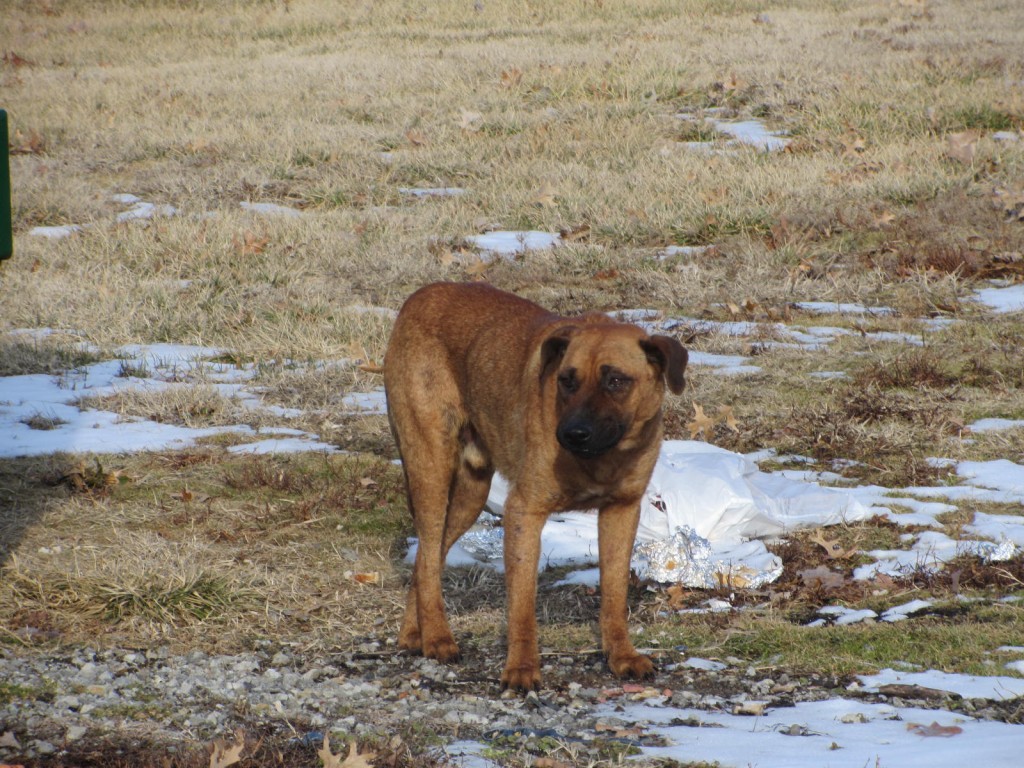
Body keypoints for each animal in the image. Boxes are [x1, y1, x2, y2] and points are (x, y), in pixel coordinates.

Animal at [385, 282, 688, 692]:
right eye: (566, 380)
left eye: (616, 380)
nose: (571, 434)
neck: (602, 457)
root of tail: (419, 297)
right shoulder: (524, 513)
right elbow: (522, 605)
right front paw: (521, 668)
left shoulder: (622, 512)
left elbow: (614, 594)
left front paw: (621, 656)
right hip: (431, 467)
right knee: (430, 555)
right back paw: (437, 637)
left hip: (470, 494)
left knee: (425, 560)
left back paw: (412, 633)